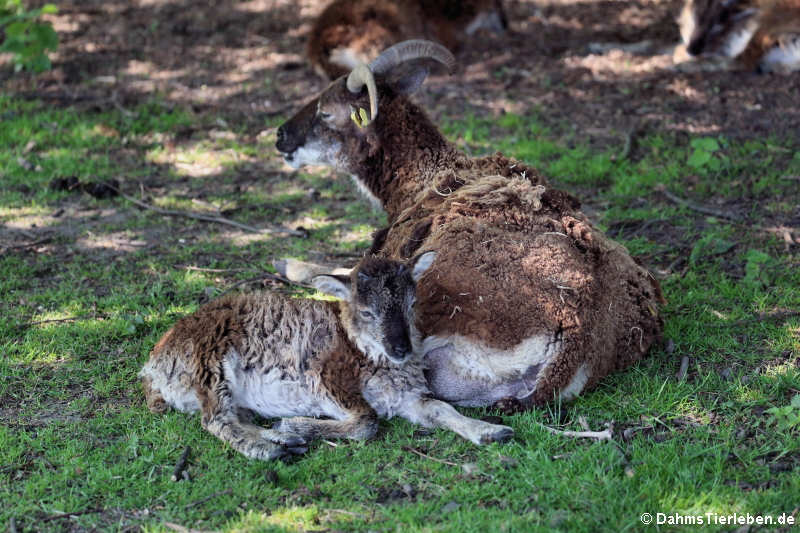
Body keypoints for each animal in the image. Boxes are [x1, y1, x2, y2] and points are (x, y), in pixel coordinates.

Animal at [139, 254, 513, 460]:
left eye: (411, 304)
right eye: (367, 312)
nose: (401, 349)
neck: (367, 353)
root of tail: (154, 367)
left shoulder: (406, 397)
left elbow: (440, 408)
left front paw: (491, 432)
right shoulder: (325, 377)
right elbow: (367, 421)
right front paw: (294, 424)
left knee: (232, 416)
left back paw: (281, 440)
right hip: (212, 362)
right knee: (216, 420)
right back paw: (273, 448)